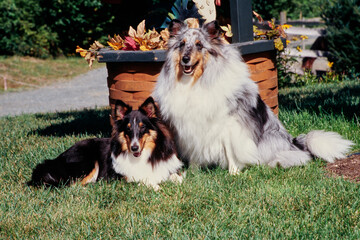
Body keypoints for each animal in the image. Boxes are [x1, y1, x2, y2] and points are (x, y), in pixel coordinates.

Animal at [28, 97, 183, 189]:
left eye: (142, 127)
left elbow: (177, 177)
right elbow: (142, 179)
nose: (134, 148)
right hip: (87, 163)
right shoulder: (119, 177)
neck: (144, 155)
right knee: (73, 185)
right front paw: (155, 186)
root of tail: (54, 160)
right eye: (128, 129)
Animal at [153, 19, 352, 173]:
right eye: (181, 45)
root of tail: (295, 143)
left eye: (199, 45)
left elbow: (230, 150)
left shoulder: (230, 125)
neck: (196, 81)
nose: (185, 59)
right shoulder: (190, 126)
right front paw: (193, 172)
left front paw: (233, 173)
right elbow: (194, 149)